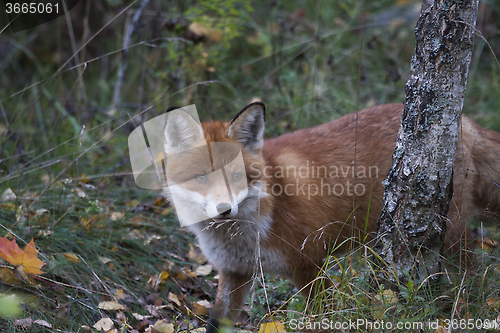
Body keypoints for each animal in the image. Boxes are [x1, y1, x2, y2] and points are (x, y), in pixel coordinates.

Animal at [164, 102, 500, 330]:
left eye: (236, 177)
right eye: (201, 178)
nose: (224, 210)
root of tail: (463, 120)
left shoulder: (309, 265)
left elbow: (319, 317)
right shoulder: (235, 272)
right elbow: (217, 320)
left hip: (450, 236)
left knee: (472, 277)